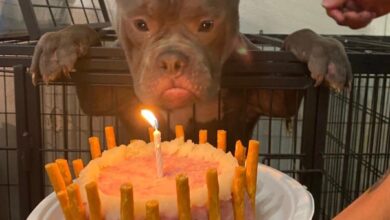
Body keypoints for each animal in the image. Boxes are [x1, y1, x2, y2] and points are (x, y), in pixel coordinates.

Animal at [29, 0, 352, 151]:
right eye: (141, 24)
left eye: (207, 25)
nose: (172, 59)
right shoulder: (103, 93)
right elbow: (90, 38)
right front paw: (61, 41)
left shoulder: (271, 92)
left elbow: (295, 40)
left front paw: (321, 47)